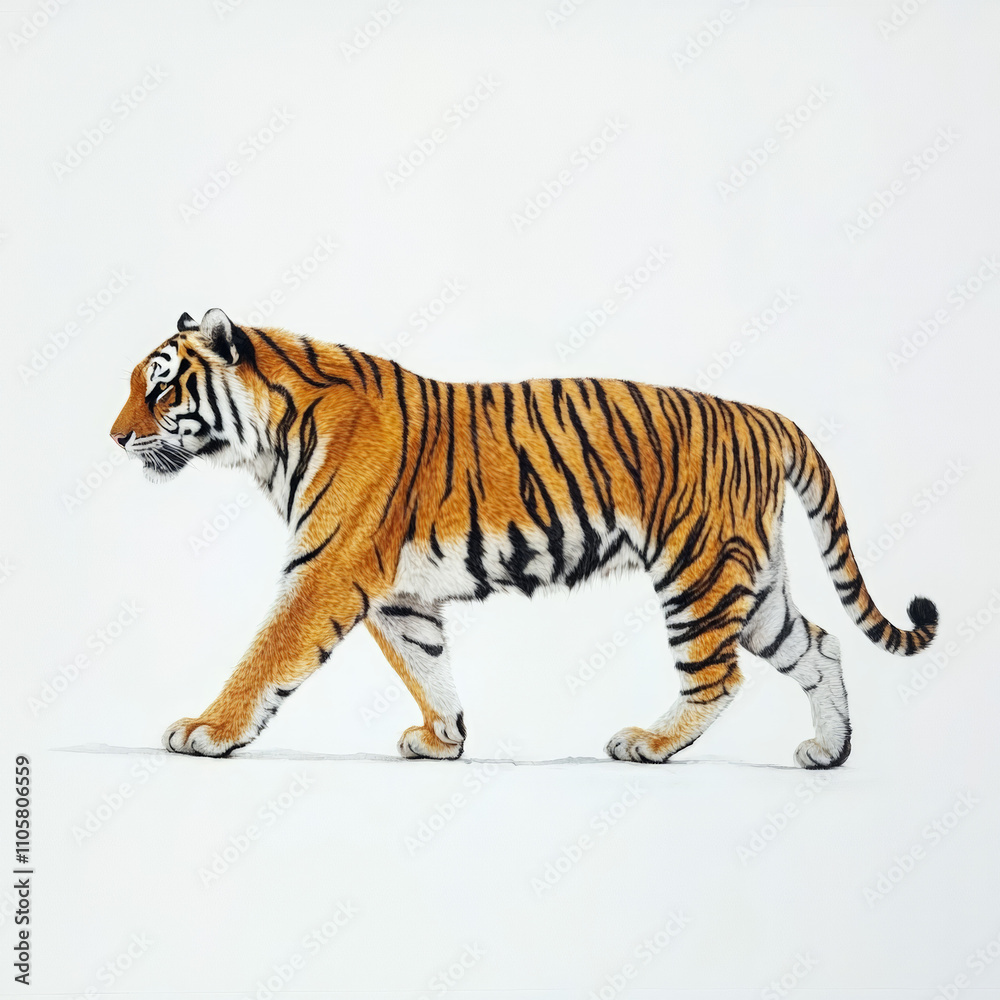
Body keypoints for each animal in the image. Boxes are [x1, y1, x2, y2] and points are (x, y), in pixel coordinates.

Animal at [109, 307, 938, 767]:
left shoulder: (326, 570)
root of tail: (765, 415)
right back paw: (829, 753)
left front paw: (207, 730)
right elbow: (427, 667)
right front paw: (445, 739)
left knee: (720, 676)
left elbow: (267, 654)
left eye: (160, 388)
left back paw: (649, 744)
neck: (269, 437)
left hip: (698, 572)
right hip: (754, 581)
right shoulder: (399, 596)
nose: (113, 439)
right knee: (819, 645)